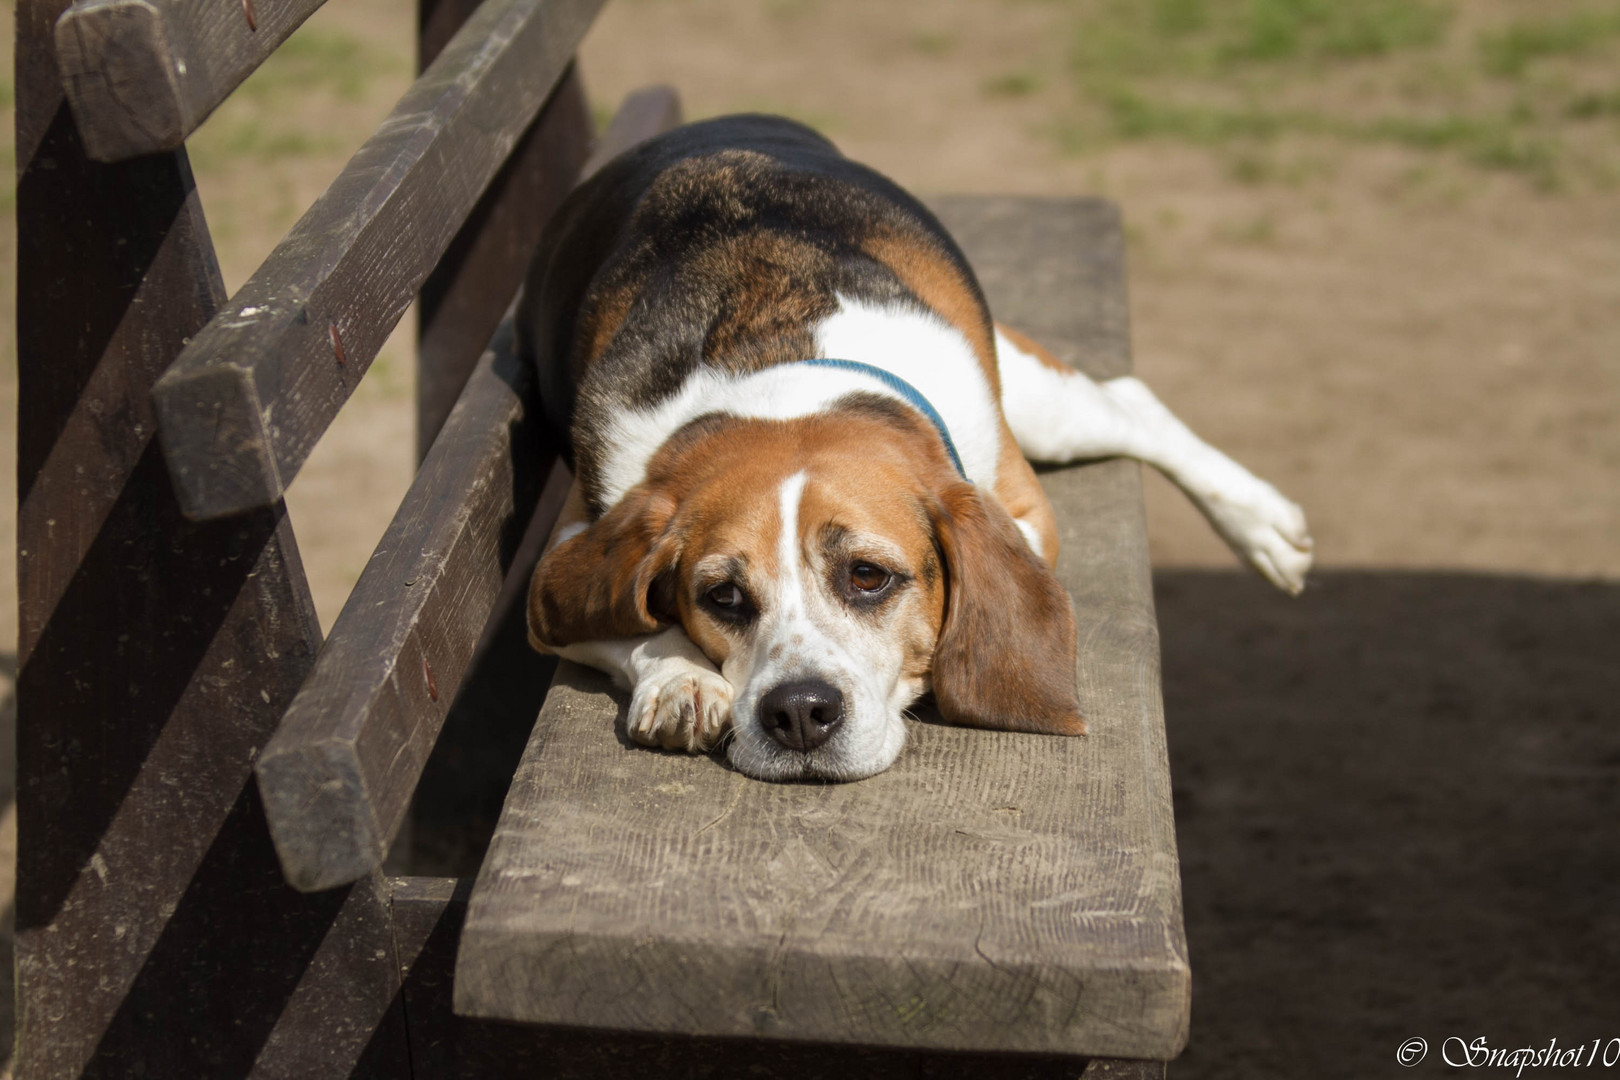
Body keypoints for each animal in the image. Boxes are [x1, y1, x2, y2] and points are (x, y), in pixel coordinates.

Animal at [524, 114, 1308, 780]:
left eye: (869, 577)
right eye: (722, 596)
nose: (798, 713)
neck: (781, 371)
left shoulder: (1021, 512)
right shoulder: (564, 553)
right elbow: (631, 625)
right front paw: (683, 679)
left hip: (1037, 407)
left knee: (1132, 400)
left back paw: (1263, 525)